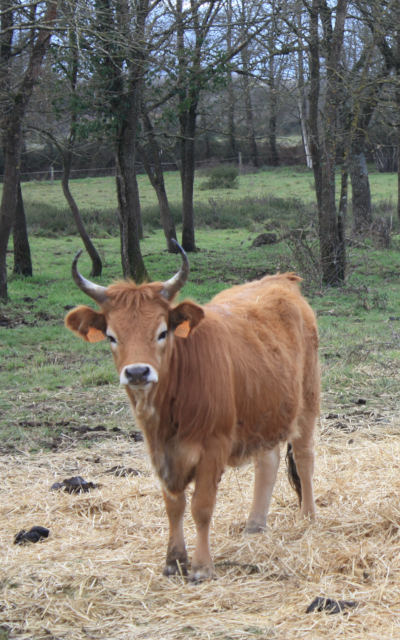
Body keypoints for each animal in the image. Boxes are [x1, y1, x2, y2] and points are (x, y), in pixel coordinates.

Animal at [65, 242, 319, 582]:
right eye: (111, 336)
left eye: (162, 332)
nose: (137, 372)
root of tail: (280, 279)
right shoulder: (160, 452)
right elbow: (174, 505)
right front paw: (174, 560)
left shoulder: (213, 447)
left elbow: (201, 506)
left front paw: (201, 566)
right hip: (265, 410)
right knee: (268, 461)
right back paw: (255, 524)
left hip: (307, 402)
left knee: (304, 458)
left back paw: (308, 516)